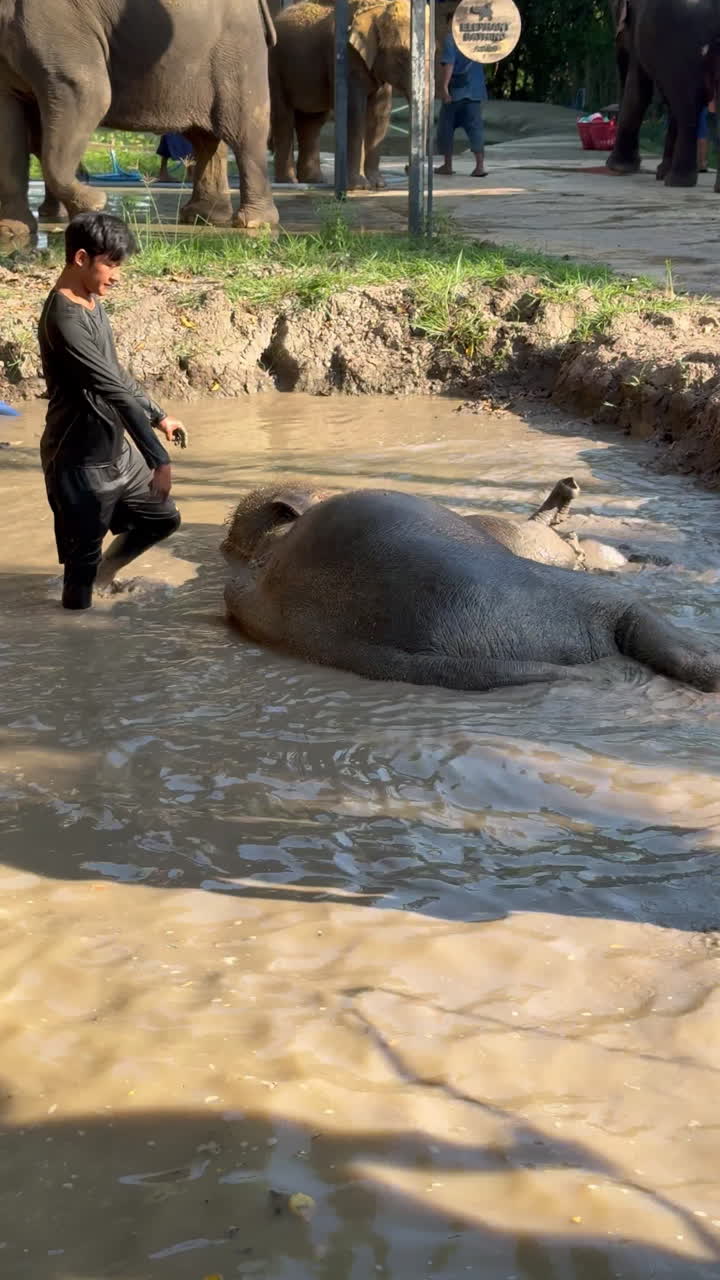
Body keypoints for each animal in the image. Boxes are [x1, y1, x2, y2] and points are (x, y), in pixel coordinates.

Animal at [0, 0, 279, 244]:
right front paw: (11, 230)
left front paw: (94, 204)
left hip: (239, 50)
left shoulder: (57, 30)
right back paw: (203, 217)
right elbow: (8, 123)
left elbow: (89, 94)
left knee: (245, 131)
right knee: (203, 137)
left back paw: (254, 222)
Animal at [270, 0, 414, 188]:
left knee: (312, 122)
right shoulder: (346, 58)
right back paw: (289, 182)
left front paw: (378, 185)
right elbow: (354, 114)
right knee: (284, 118)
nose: (407, 168)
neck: (377, 8)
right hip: (274, 66)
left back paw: (314, 180)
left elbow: (379, 115)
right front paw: (360, 186)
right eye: (401, 57)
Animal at [607, 0, 719, 188]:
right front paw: (659, 171)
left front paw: (617, 167)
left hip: (682, 47)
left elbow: (638, 91)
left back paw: (676, 181)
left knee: (686, 107)